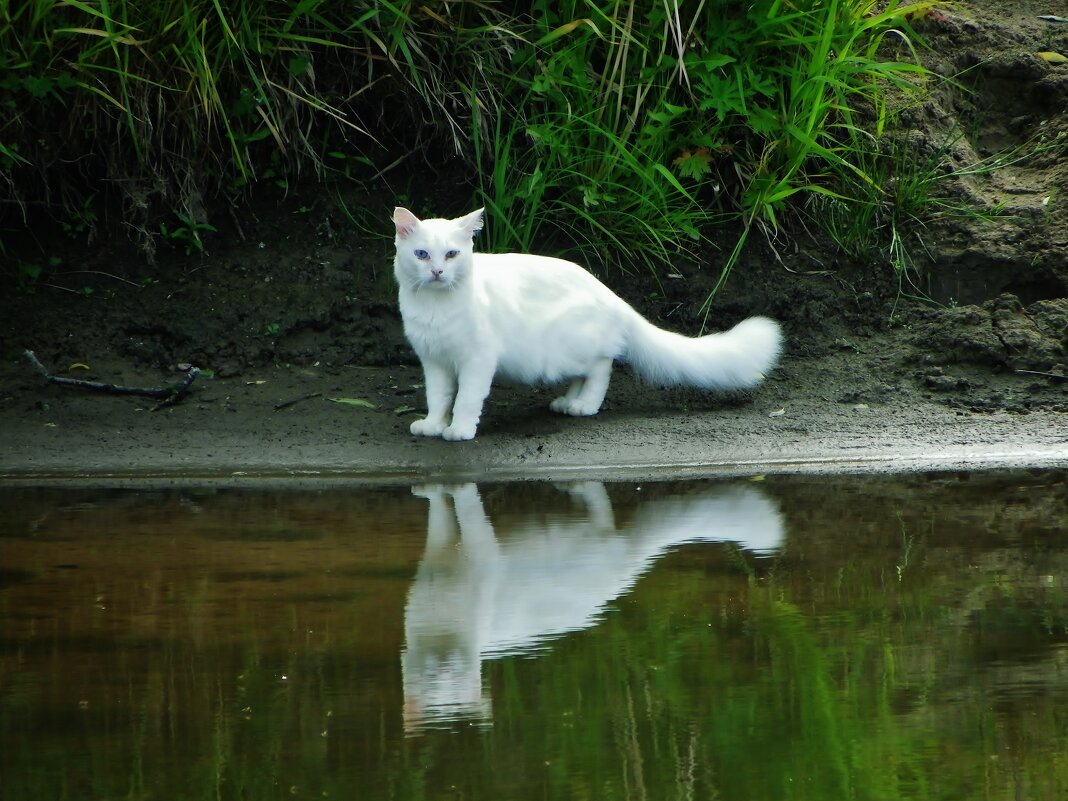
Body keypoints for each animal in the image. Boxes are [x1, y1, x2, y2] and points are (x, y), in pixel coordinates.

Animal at [397, 207, 781, 442]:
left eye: (451, 254)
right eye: (422, 255)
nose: (437, 272)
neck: (435, 308)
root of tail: (612, 296)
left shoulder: (477, 360)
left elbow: (465, 399)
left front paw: (459, 429)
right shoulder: (433, 361)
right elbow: (438, 397)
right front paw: (433, 425)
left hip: (566, 348)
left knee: (602, 368)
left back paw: (585, 406)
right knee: (585, 374)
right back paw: (568, 403)